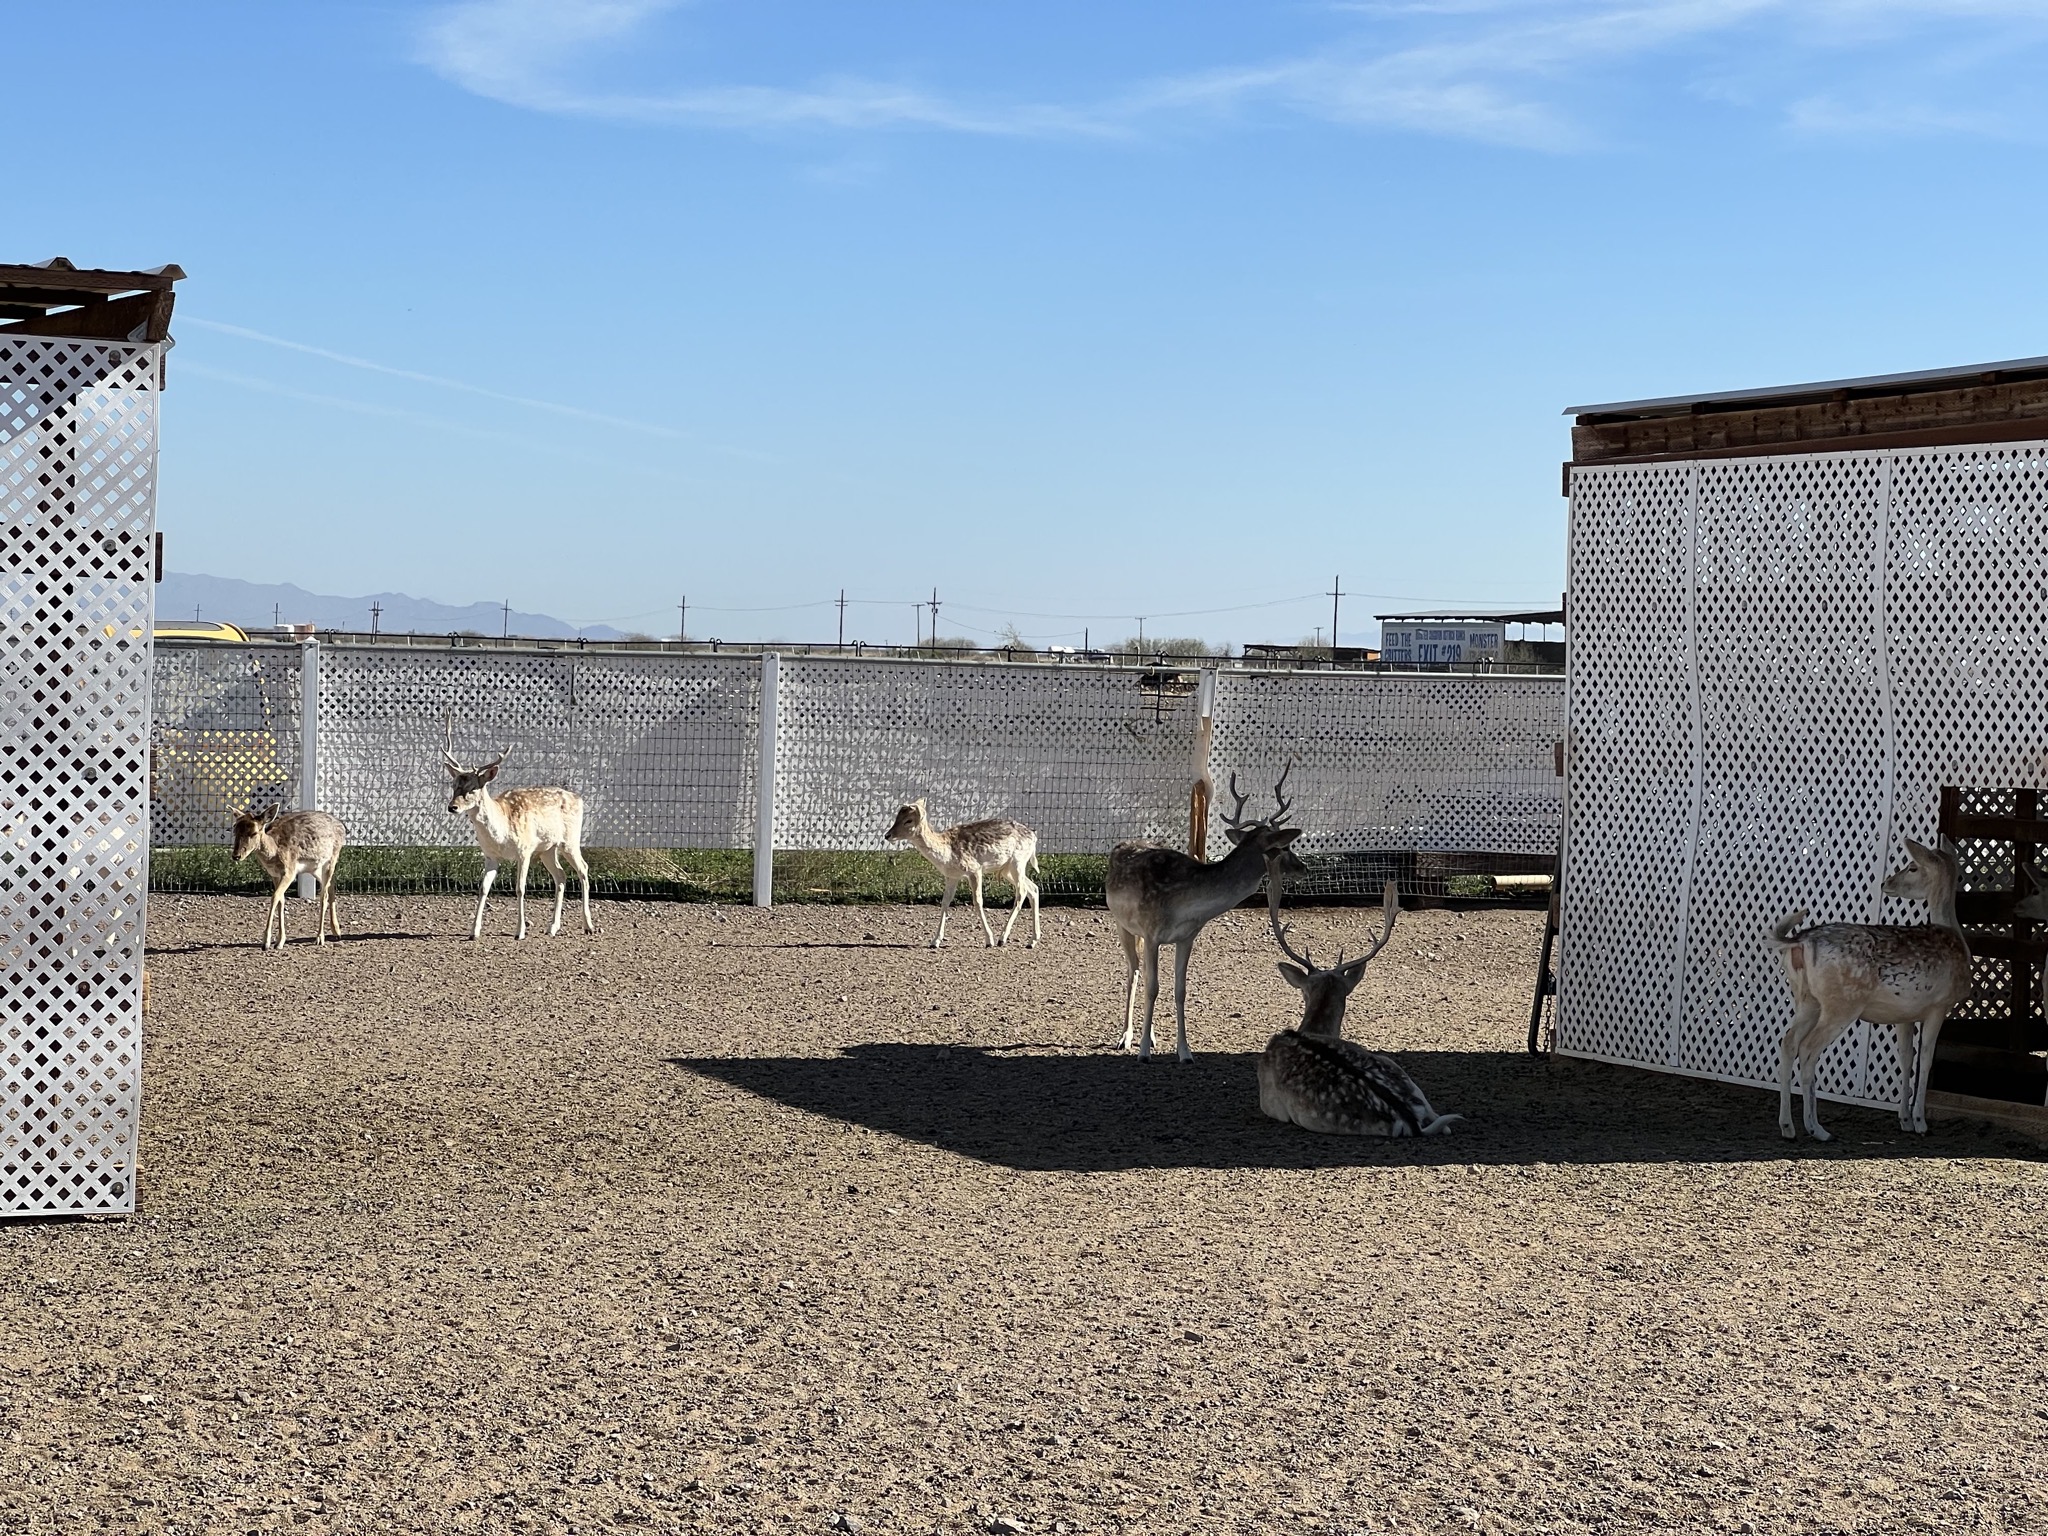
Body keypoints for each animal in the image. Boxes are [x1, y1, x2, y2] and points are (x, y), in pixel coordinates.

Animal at [231, 805, 346, 950]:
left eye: (254, 833)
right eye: (235, 830)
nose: (236, 856)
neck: (275, 851)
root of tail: (343, 827)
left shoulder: (289, 872)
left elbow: (275, 897)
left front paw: (266, 942)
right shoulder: (274, 874)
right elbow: (281, 900)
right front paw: (279, 941)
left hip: (331, 859)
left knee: (323, 896)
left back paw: (320, 937)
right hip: (316, 868)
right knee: (331, 886)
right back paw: (337, 931)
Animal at [443, 728, 595, 942]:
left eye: (473, 788)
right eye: (453, 784)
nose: (452, 807)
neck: (501, 834)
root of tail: (579, 799)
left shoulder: (525, 850)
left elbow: (520, 888)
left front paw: (520, 931)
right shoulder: (490, 856)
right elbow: (483, 888)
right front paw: (473, 931)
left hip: (570, 840)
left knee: (583, 869)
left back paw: (588, 926)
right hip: (547, 849)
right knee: (561, 875)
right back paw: (552, 927)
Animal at [883, 800, 1041, 949]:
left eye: (908, 820)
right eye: (897, 817)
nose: (887, 835)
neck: (947, 855)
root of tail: (1034, 836)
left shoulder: (975, 869)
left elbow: (978, 901)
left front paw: (989, 940)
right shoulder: (951, 876)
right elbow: (945, 902)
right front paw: (935, 941)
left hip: (1017, 862)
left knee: (1022, 892)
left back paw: (1002, 939)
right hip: (1006, 869)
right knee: (1033, 888)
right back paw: (1032, 940)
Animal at [1106, 765, 1305, 1062]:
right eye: (1284, 847)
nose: (1303, 867)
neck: (1185, 903)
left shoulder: (1187, 936)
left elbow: (1180, 990)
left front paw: (1185, 1052)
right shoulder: (1151, 932)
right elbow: (1153, 988)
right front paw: (1143, 1053)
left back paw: (1150, 1035)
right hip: (1123, 925)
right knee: (1134, 971)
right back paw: (1126, 1037)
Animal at [1771, 836, 1971, 1141]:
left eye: (1912, 867)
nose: (1886, 882)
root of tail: (1801, 942)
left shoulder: (1906, 1014)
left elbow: (1906, 1059)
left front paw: (1905, 1120)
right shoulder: (1940, 1005)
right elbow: (1925, 1059)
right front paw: (1921, 1123)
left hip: (1807, 999)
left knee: (1788, 1042)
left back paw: (1788, 1127)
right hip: (1842, 1003)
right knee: (1808, 1048)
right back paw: (1817, 1129)